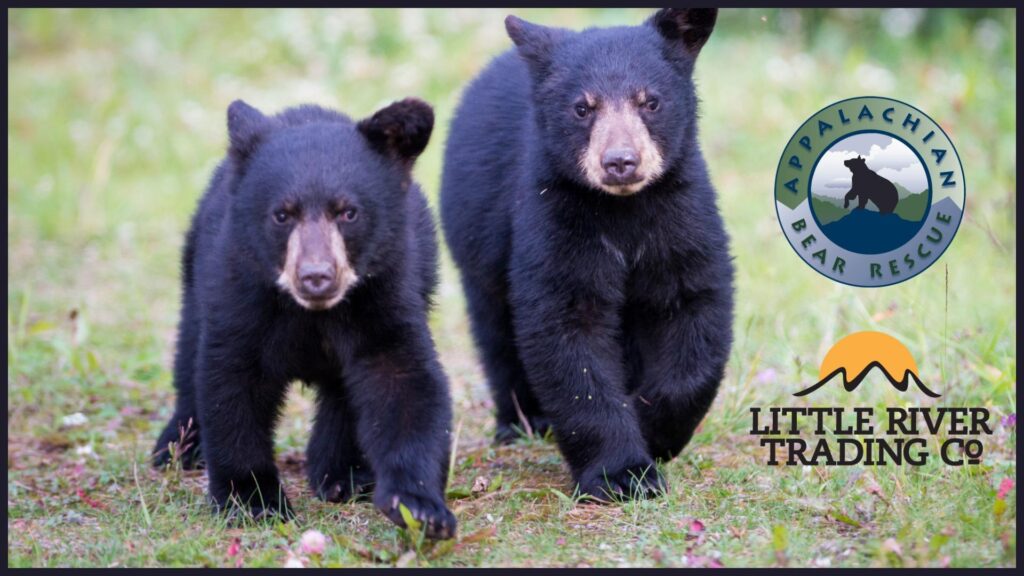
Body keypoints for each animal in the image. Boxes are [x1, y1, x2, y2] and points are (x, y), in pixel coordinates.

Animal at [152, 98, 457, 539]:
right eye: (282, 215)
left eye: (348, 212)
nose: (316, 276)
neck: (312, 313)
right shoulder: (239, 290)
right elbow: (231, 383)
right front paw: (252, 500)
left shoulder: (387, 292)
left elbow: (403, 382)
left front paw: (420, 506)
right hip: (194, 269)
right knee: (189, 350)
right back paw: (178, 446)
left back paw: (344, 474)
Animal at [439, 8, 734, 501]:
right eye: (582, 107)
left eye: (650, 102)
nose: (620, 162)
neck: (623, 209)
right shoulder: (555, 216)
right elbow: (568, 332)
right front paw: (623, 474)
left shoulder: (681, 213)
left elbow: (692, 309)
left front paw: (654, 429)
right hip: (477, 240)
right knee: (496, 329)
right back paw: (522, 420)